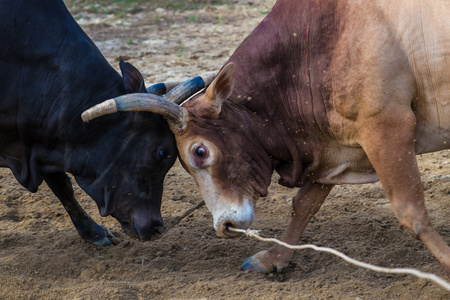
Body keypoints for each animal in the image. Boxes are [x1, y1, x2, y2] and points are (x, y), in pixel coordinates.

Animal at [83, 0, 450, 274]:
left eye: (199, 152)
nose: (225, 225)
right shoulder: (334, 150)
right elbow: (303, 204)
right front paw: (273, 260)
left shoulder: (387, 128)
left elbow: (411, 212)